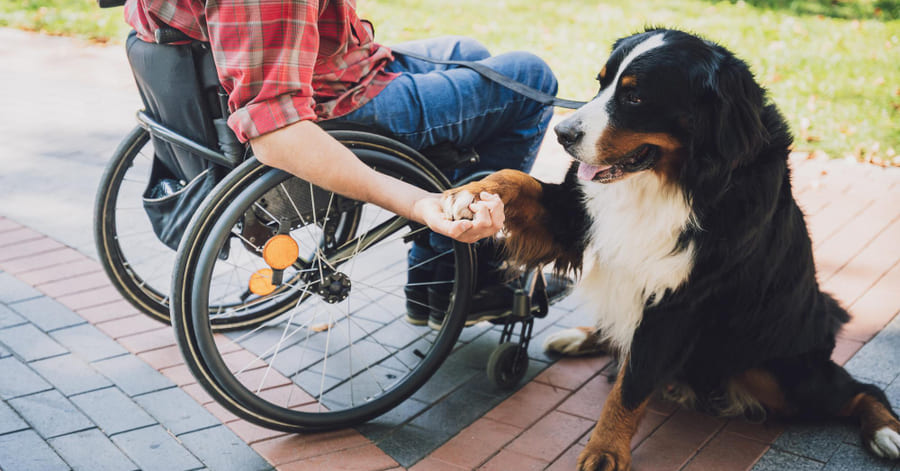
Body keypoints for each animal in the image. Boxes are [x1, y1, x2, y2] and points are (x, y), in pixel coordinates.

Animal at [442, 27, 900, 470]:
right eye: (601, 83)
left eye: (635, 96)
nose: (562, 133)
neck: (674, 183)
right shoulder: (575, 219)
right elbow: (514, 178)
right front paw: (469, 194)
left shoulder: (677, 302)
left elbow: (631, 386)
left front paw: (605, 451)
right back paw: (578, 336)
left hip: (784, 375)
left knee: (862, 390)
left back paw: (886, 433)